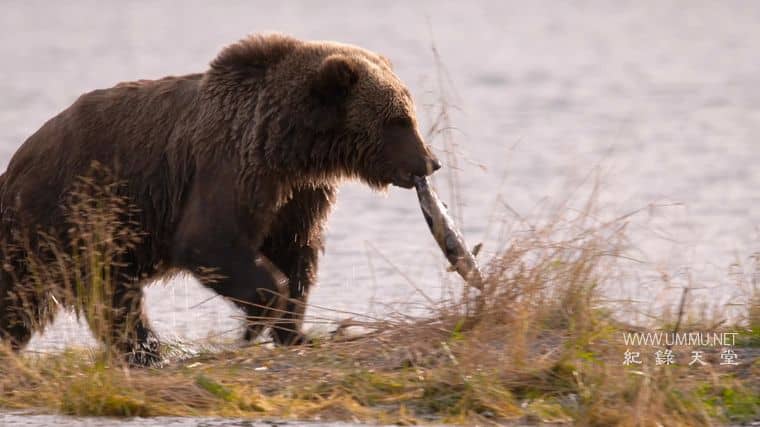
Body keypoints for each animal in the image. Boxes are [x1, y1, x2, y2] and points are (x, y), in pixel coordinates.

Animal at [0, 33, 440, 364]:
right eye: (399, 120)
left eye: (409, 114)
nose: (430, 162)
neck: (290, 145)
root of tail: (17, 163)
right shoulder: (231, 166)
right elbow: (209, 240)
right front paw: (259, 319)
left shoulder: (297, 196)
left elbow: (297, 254)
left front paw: (294, 331)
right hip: (79, 212)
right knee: (107, 292)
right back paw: (149, 352)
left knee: (25, 303)